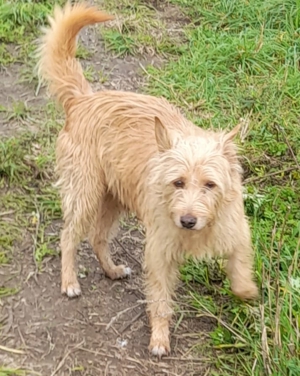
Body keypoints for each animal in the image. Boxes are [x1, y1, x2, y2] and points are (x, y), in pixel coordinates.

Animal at [37, 1, 258, 356]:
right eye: (177, 182)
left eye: (210, 185)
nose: (187, 220)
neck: (199, 231)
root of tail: (84, 99)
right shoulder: (159, 254)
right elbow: (160, 300)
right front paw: (159, 338)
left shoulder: (235, 233)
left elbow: (239, 268)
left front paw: (246, 290)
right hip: (86, 195)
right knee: (69, 237)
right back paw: (69, 281)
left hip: (113, 200)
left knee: (97, 238)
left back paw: (112, 270)